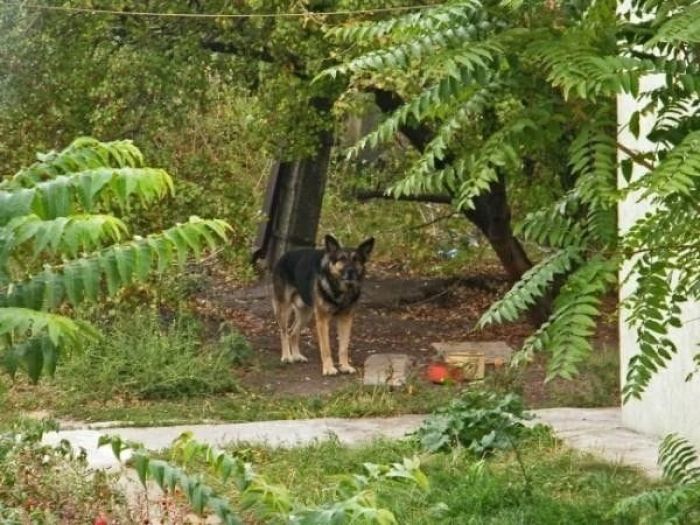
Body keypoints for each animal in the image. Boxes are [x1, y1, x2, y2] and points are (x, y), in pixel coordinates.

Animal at [270, 235, 374, 374]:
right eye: (341, 259)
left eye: (356, 259)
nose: (350, 271)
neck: (340, 289)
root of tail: (284, 256)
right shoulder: (322, 320)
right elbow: (326, 348)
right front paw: (329, 368)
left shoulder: (346, 319)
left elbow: (344, 347)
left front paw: (345, 366)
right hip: (284, 309)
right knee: (284, 332)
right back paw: (287, 356)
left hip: (306, 314)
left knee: (293, 332)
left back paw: (296, 355)